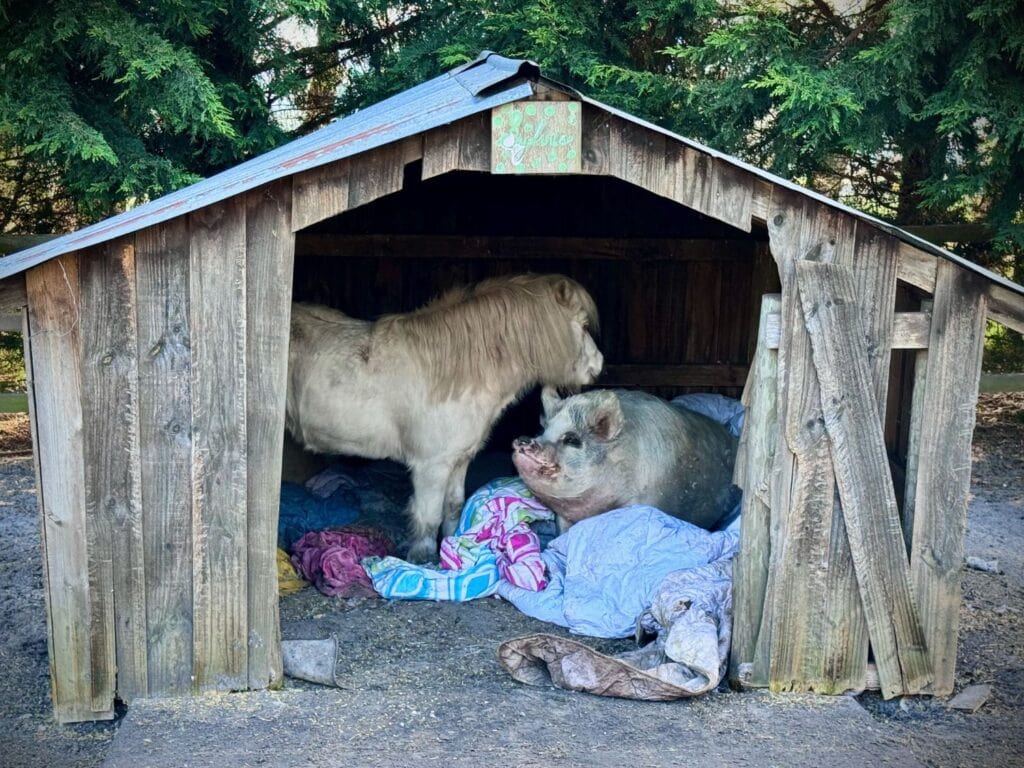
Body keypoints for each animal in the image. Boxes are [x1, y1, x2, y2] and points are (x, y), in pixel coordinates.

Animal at [284, 274, 602, 561]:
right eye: (584, 325)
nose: (598, 366)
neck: (455, 374)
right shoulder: (431, 466)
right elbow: (428, 517)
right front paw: (423, 562)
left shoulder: (459, 460)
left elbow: (453, 509)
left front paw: (454, 550)